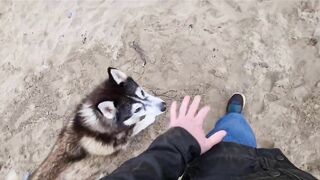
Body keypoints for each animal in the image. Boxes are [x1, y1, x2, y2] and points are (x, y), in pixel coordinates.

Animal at [30, 67, 166, 180]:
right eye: (137, 109)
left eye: (142, 93)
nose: (163, 106)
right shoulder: (124, 137)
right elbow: (140, 123)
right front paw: (151, 116)